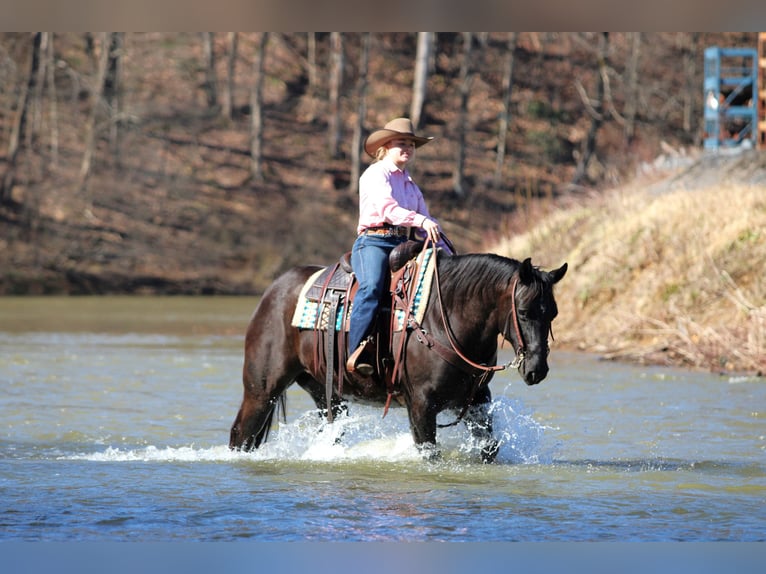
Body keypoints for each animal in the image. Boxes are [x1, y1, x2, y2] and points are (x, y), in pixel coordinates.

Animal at [229, 248, 567, 462]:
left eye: (552, 313)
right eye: (523, 311)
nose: (537, 369)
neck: (443, 317)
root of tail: (273, 290)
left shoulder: (476, 402)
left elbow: (489, 449)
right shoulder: (420, 404)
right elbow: (430, 452)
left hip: (326, 393)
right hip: (261, 390)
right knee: (241, 435)